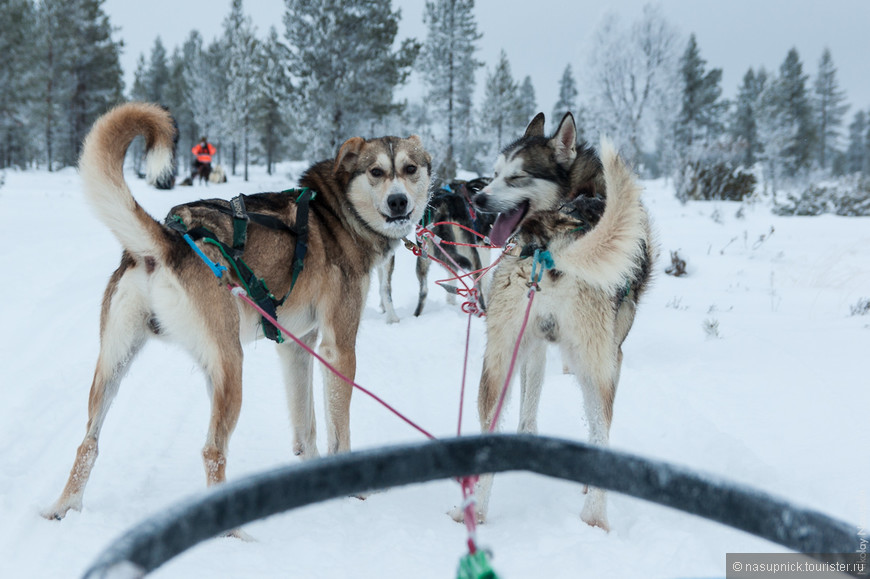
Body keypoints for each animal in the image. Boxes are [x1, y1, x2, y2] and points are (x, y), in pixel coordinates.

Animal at [44, 101, 432, 520]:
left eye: (410, 168)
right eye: (376, 172)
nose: (399, 202)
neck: (337, 215)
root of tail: (169, 238)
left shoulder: (296, 346)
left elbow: (306, 425)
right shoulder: (338, 347)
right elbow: (337, 429)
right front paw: (353, 492)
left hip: (116, 364)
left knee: (88, 443)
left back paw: (63, 507)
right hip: (231, 365)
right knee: (213, 450)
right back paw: (232, 529)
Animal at [464, 111, 656, 532]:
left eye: (516, 177)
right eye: (495, 173)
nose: (478, 198)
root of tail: (551, 249)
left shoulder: (531, 343)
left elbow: (527, 407)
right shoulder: (610, 357)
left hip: (498, 355)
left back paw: (473, 509)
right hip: (597, 364)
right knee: (601, 428)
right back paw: (595, 516)